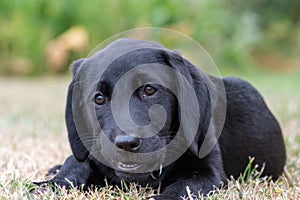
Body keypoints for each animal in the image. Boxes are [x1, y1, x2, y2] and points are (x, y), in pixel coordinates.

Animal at [36, 38, 288, 198]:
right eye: (98, 98)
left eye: (149, 89)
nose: (126, 143)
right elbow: (75, 162)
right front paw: (51, 184)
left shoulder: (208, 173)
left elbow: (181, 189)